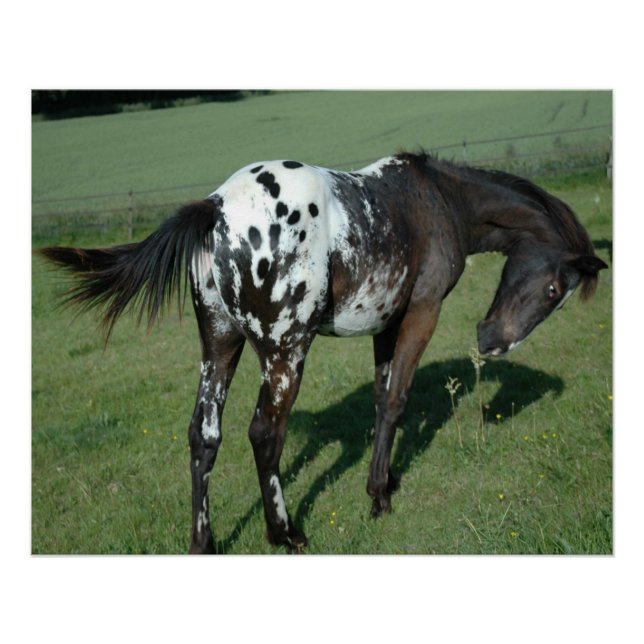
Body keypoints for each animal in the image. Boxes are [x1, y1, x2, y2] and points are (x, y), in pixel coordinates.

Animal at [38, 152, 608, 553]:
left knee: (204, 436)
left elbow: (381, 400)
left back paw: (204, 543)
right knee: (264, 434)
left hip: (220, 344)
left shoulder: (386, 324)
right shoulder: (421, 315)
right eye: (554, 290)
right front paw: (379, 496)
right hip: (286, 351)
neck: (437, 198)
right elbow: (396, 400)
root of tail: (216, 208)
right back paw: (285, 534)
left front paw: (386, 479)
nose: (492, 342)